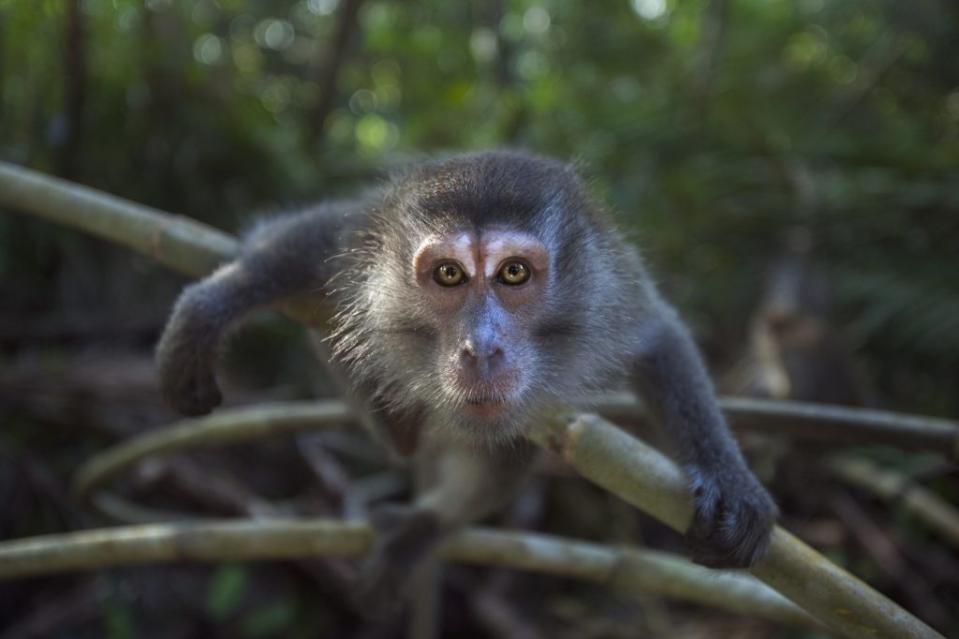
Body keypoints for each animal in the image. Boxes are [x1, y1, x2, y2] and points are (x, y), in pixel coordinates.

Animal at [156, 151, 780, 608]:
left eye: (514, 273)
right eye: (449, 275)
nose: (480, 348)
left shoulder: (608, 281)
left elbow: (658, 336)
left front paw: (730, 479)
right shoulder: (363, 241)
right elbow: (297, 239)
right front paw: (208, 307)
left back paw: (431, 515)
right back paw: (397, 425)